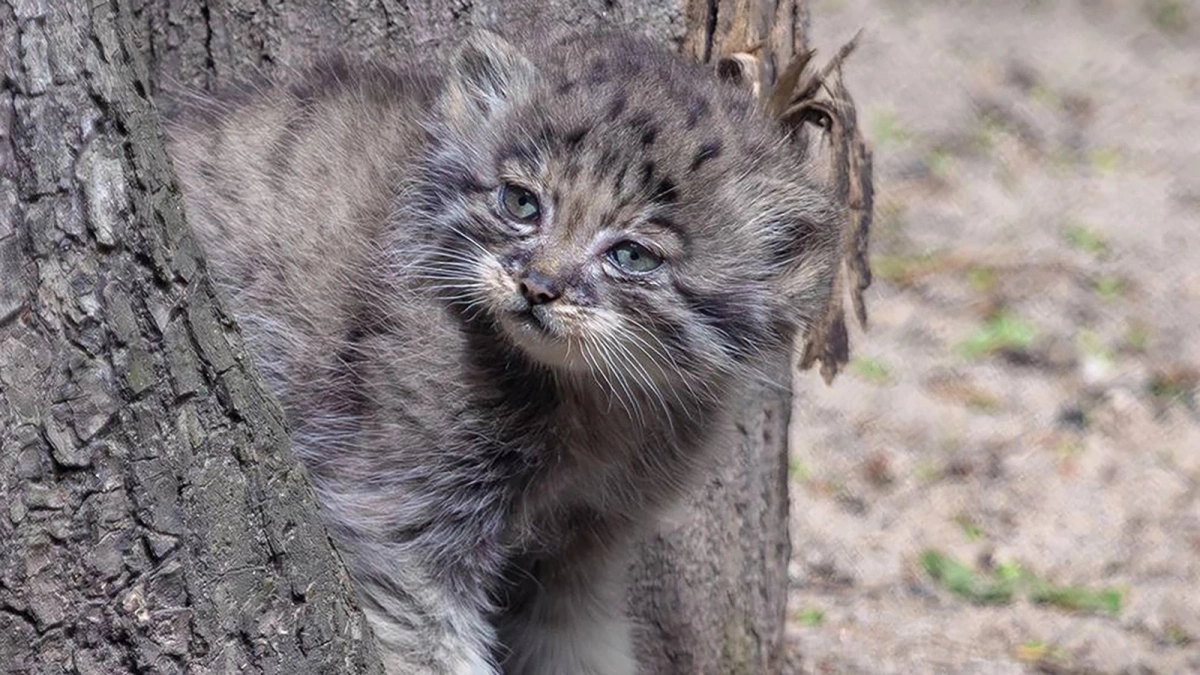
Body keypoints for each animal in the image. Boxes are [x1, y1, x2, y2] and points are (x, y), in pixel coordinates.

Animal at [166, 26, 844, 672]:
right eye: (521, 203)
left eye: (632, 256)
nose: (537, 287)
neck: (593, 407)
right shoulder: (400, 519)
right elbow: (431, 650)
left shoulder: (584, 548)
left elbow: (581, 651)